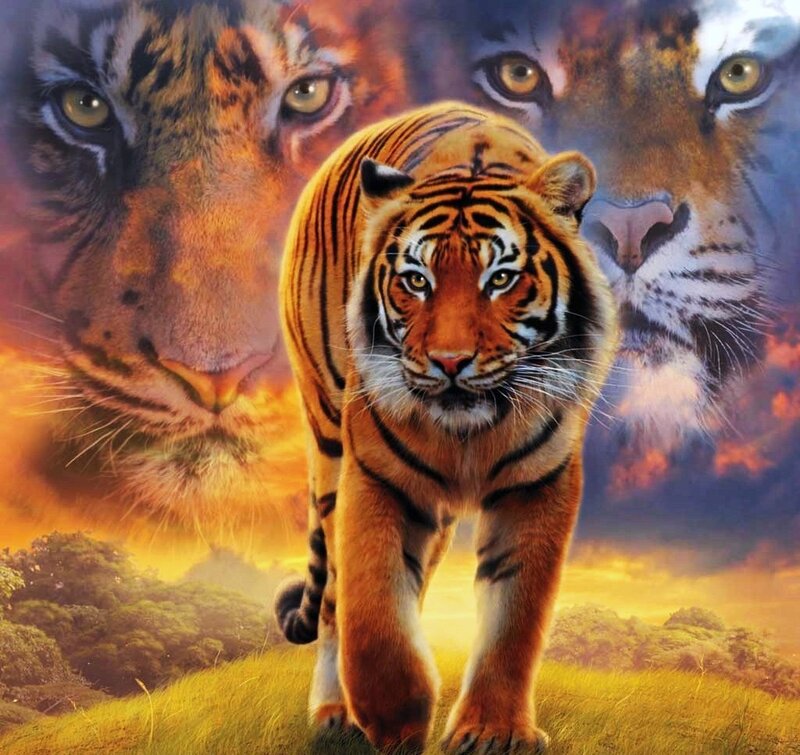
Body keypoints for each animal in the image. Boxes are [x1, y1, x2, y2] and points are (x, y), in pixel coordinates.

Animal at [275, 102, 617, 752]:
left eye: (501, 279)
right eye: (416, 281)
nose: (451, 362)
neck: (469, 437)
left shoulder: (539, 483)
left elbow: (516, 618)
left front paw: (492, 731)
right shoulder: (377, 476)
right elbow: (373, 610)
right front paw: (391, 719)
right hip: (328, 440)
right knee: (332, 596)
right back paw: (334, 712)